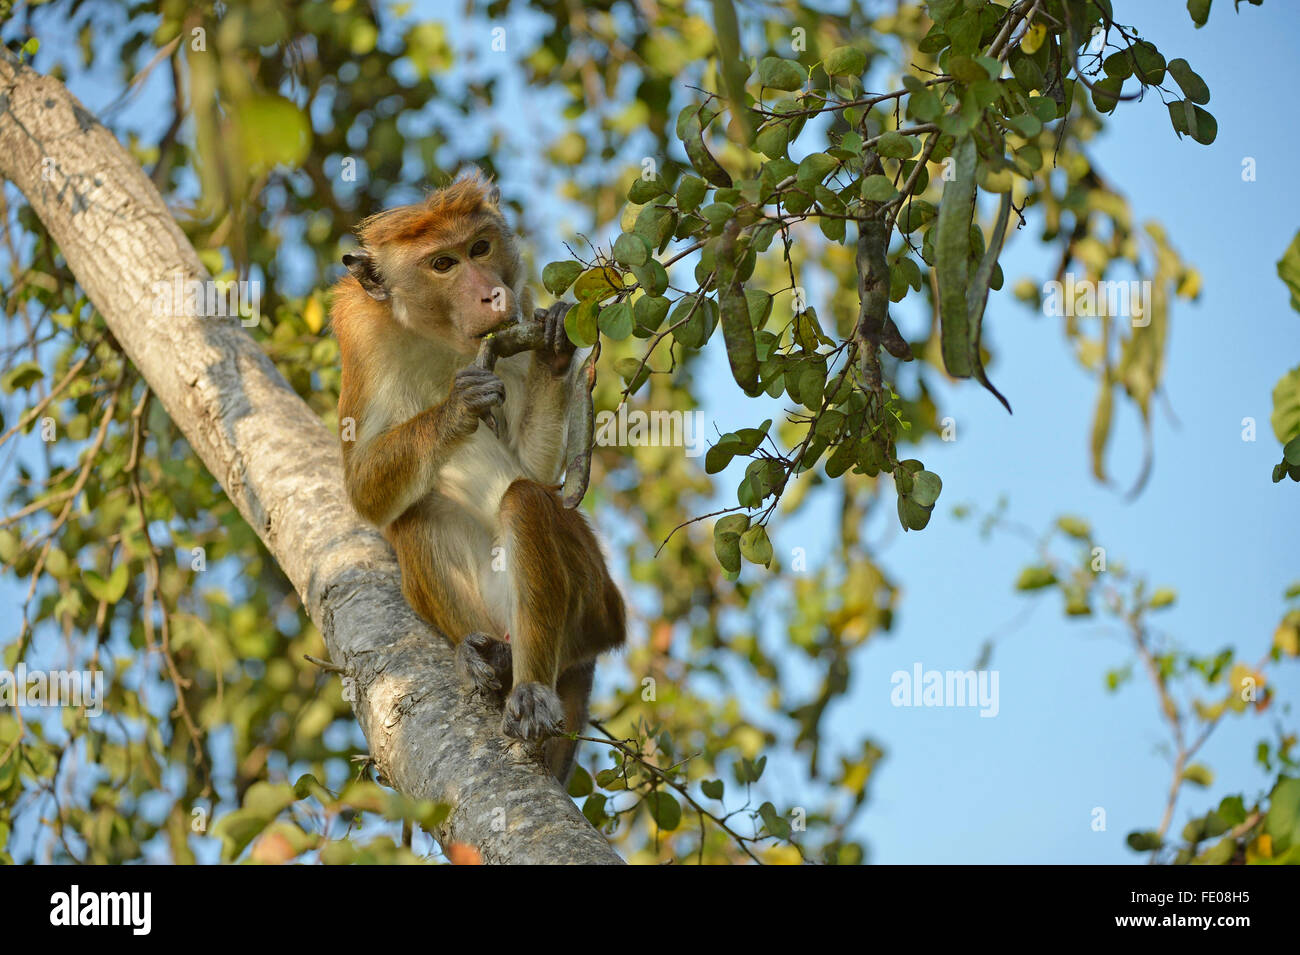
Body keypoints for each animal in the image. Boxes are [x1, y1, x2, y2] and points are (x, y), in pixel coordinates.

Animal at [330, 173, 626, 783]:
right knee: (416, 514)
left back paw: (530, 685)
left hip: (594, 601)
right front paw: (456, 408)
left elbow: (532, 473)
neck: (439, 337)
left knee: (526, 501)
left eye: (480, 248)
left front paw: (557, 347)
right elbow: (364, 490)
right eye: (443, 263)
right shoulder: (360, 335)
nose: (492, 295)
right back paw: (483, 654)